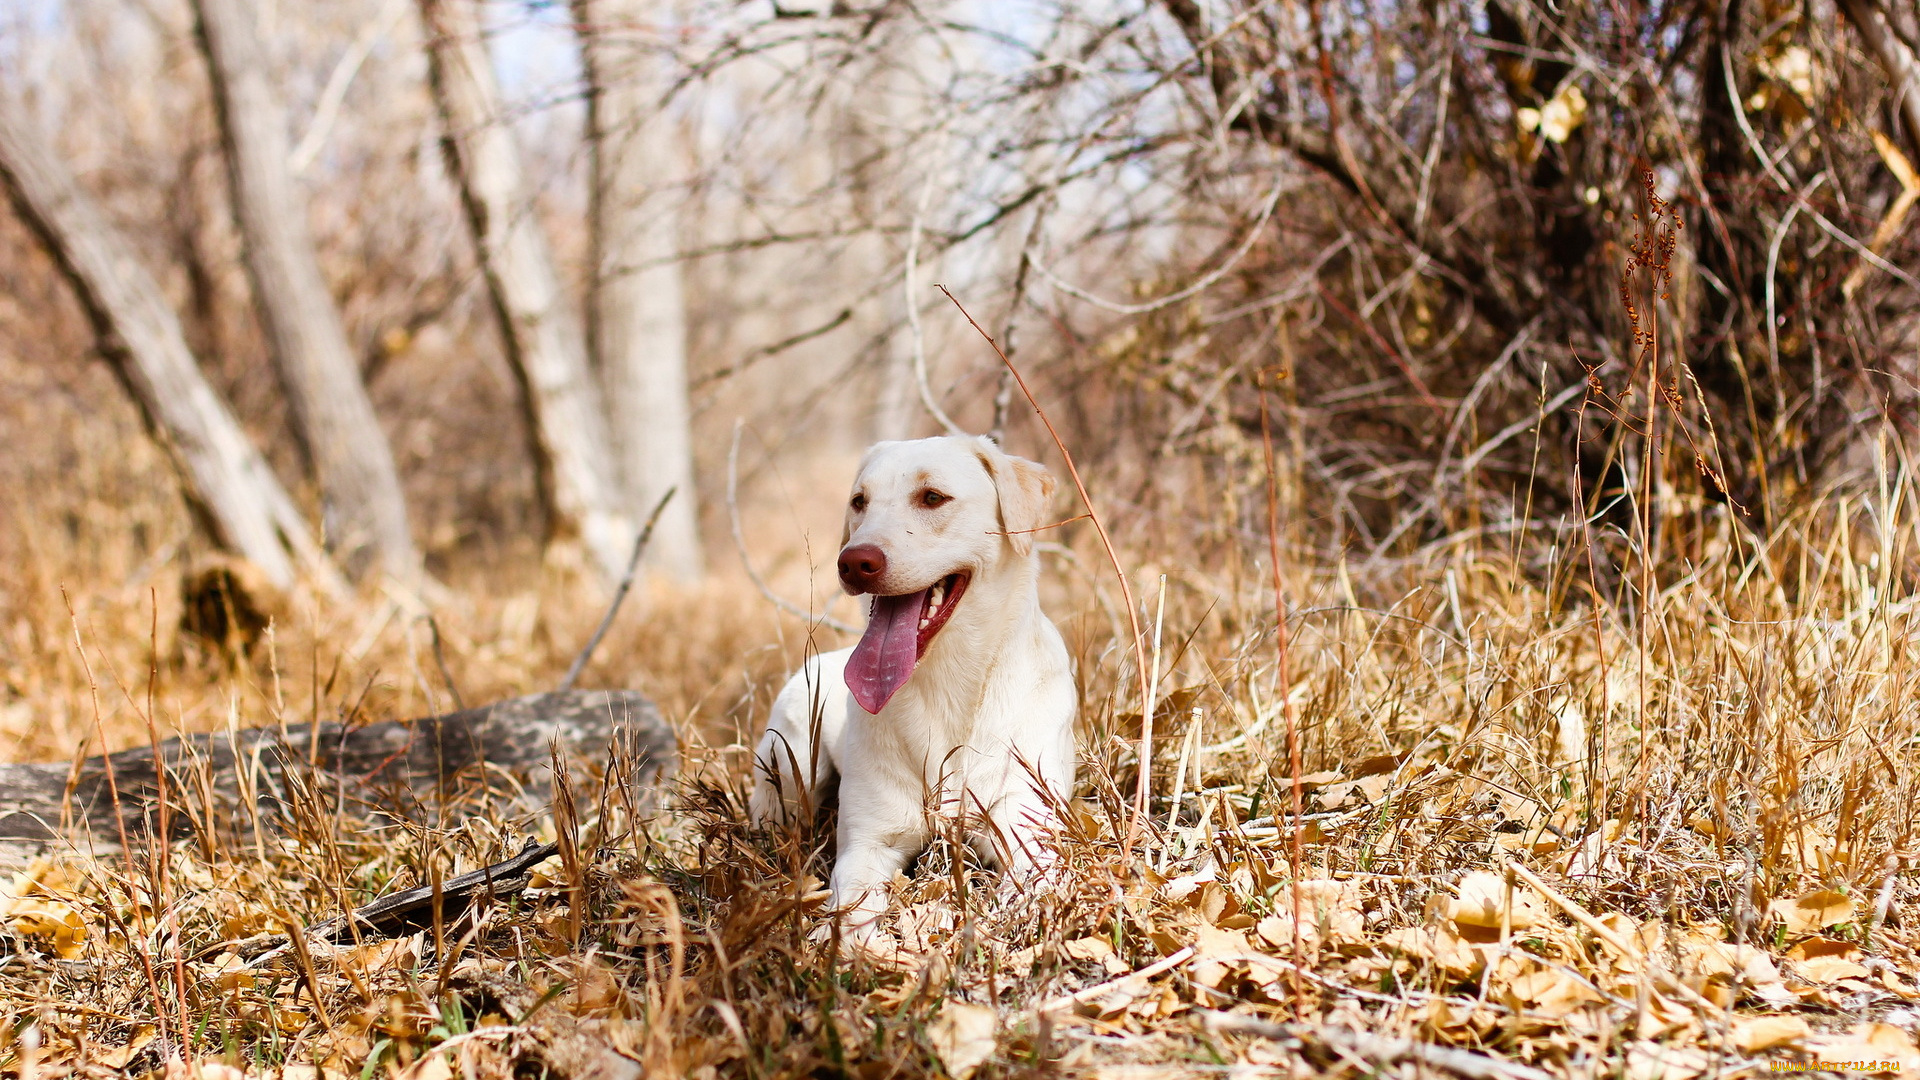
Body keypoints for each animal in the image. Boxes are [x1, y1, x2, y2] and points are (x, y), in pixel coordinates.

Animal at [748, 432, 1082, 937]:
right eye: (859, 502)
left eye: (933, 497)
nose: (854, 562)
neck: (947, 686)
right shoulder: (868, 844)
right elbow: (853, 908)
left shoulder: (1027, 828)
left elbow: (1025, 893)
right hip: (789, 772)